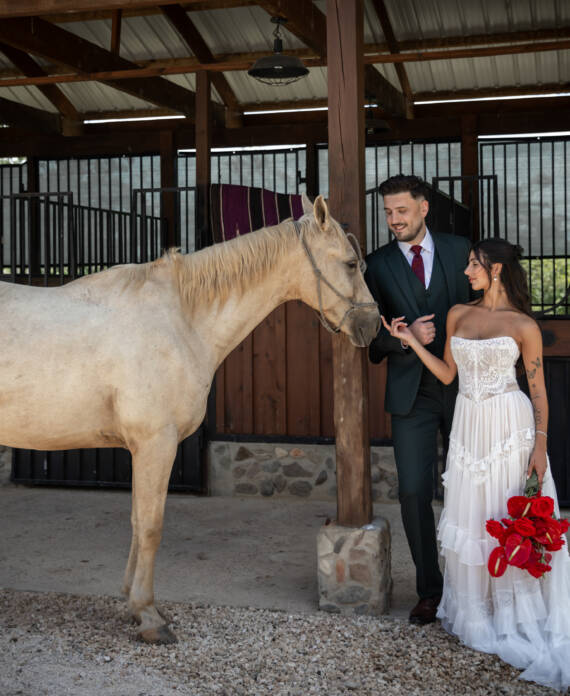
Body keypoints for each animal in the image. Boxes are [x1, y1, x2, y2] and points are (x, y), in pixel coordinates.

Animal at [0, 194, 380, 643]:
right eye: (351, 264)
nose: (373, 324)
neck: (181, 320)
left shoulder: (144, 449)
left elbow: (137, 521)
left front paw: (131, 602)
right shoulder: (155, 444)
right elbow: (150, 525)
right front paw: (149, 616)